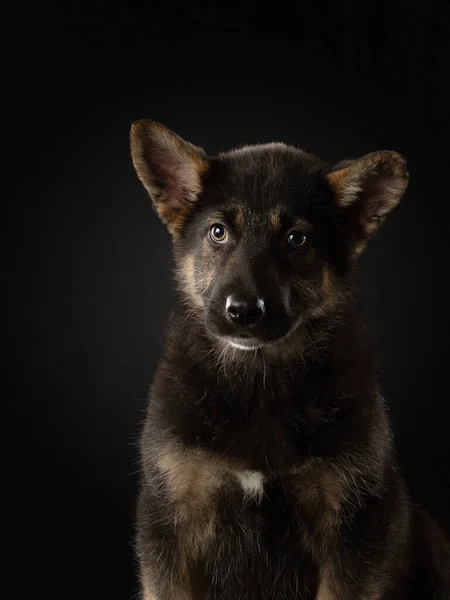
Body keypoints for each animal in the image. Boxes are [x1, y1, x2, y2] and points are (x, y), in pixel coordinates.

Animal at [129, 119, 450, 596]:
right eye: (218, 232)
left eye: (296, 239)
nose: (243, 311)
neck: (259, 381)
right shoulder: (171, 521)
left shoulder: (354, 526)